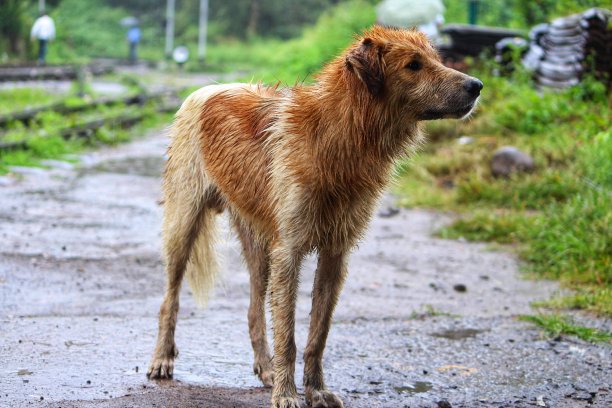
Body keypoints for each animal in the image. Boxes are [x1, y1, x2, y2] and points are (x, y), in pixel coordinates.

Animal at [147, 25, 482, 408]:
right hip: (183, 224)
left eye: (436, 60)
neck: (339, 138)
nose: (477, 85)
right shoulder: (289, 253)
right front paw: (287, 394)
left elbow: (317, 334)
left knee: (254, 310)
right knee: (169, 299)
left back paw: (265, 368)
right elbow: (289, 335)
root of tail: (207, 89)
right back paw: (162, 358)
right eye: (413, 65)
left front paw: (315, 389)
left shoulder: (335, 254)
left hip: (261, 247)